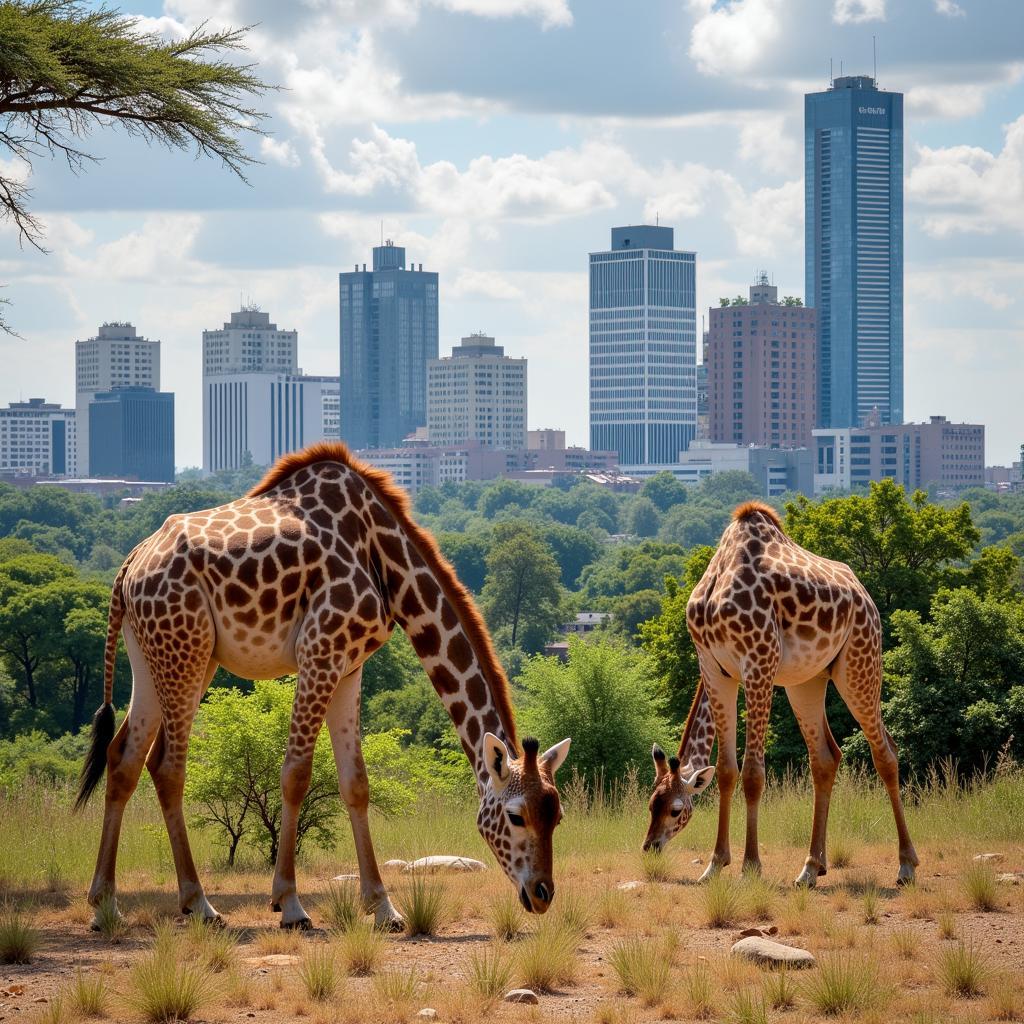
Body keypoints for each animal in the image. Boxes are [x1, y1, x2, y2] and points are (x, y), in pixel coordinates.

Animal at [75, 440, 573, 929]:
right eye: (516, 817)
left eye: (558, 815)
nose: (543, 894)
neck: (386, 563)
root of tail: (127, 569)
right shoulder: (320, 650)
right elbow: (296, 774)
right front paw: (290, 905)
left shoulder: (351, 666)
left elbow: (357, 783)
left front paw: (383, 908)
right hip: (187, 650)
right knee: (167, 766)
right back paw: (199, 904)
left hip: (156, 656)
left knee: (124, 757)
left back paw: (105, 905)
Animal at [638, 503, 921, 888]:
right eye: (651, 802)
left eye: (675, 809)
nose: (650, 846)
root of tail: (864, 593)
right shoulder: (713, 667)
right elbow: (726, 771)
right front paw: (715, 865)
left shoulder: (759, 660)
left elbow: (752, 773)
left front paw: (750, 866)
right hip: (807, 682)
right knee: (825, 758)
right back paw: (811, 869)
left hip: (860, 663)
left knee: (885, 753)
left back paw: (906, 865)